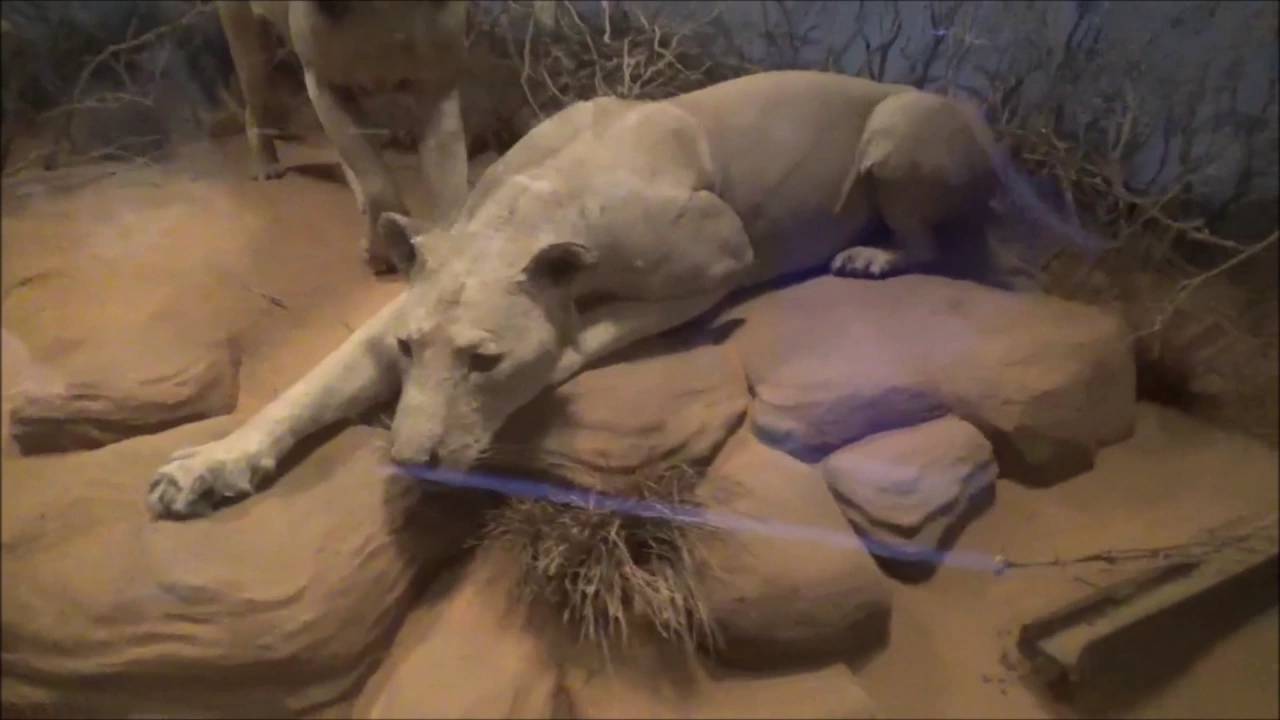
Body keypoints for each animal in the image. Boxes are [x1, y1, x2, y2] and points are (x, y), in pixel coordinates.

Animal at [146, 70, 1031, 520]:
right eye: (408, 350)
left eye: (485, 362)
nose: (411, 462)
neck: (529, 210)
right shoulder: (402, 304)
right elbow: (308, 387)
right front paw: (207, 468)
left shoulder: (721, 259)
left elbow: (591, 333)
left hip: (897, 134)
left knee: (931, 241)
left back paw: (870, 256)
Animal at [216, 0, 553, 275]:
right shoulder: (325, 83)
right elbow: (377, 181)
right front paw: (385, 251)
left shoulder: (437, 86)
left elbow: (449, 184)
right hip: (250, 43)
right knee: (254, 106)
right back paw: (267, 166)